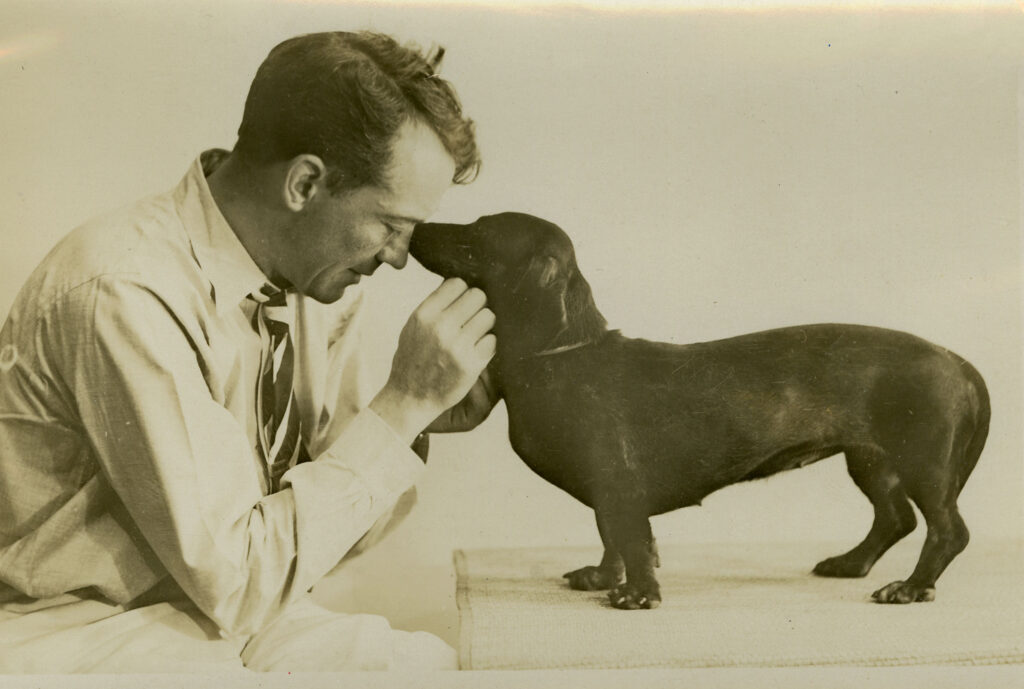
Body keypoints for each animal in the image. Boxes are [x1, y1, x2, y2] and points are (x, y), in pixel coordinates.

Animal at [407, 211, 991, 610]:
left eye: (476, 234)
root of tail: (954, 359)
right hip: (870, 460)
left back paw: (912, 587)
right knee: (895, 518)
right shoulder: (607, 492)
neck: (564, 354)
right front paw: (605, 577)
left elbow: (631, 538)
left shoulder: (618, 482)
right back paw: (852, 564)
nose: (416, 227)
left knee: (947, 531)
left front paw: (638, 593)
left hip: (924, 463)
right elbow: (610, 535)